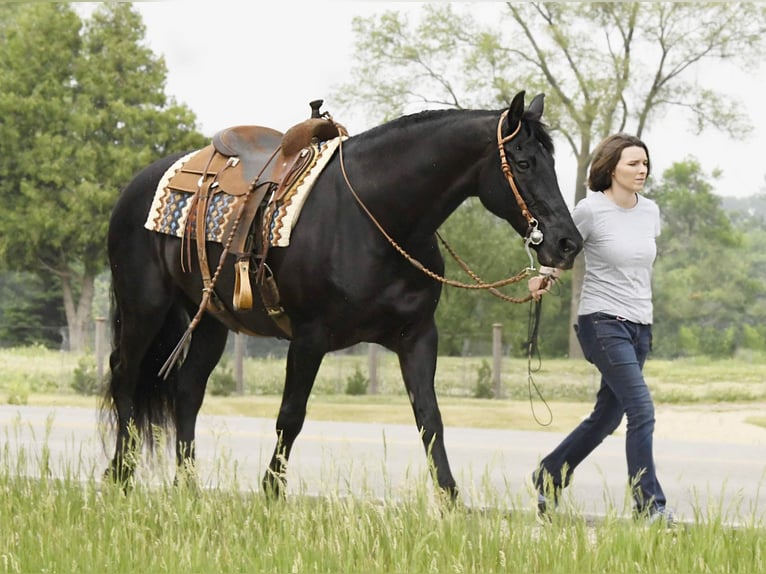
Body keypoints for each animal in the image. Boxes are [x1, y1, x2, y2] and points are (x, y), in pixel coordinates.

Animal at [100, 91, 584, 500]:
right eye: (523, 162)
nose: (567, 243)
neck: (375, 216)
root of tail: (137, 185)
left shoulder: (417, 337)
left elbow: (430, 420)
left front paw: (450, 501)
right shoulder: (308, 338)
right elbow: (290, 416)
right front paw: (271, 492)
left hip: (210, 321)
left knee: (187, 391)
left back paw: (187, 485)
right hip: (144, 308)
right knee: (125, 375)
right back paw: (119, 474)